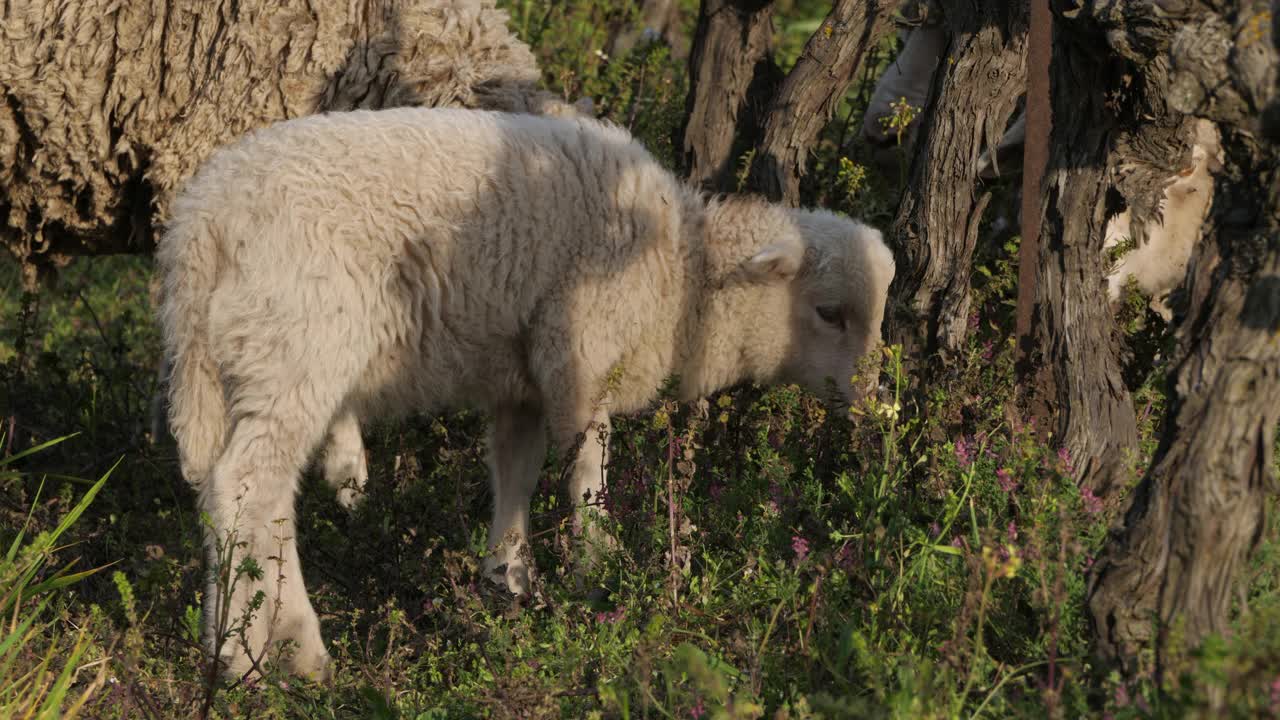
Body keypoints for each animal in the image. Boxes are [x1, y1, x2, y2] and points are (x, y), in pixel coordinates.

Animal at [154, 103, 896, 676]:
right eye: (830, 312)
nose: (871, 403)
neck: (682, 274)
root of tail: (201, 226)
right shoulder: (579, 352)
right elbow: (586, 468)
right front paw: (598, 570)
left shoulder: (523, 376)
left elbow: (517, 467)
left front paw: (507, 576)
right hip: (295, 349)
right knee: (249, 489)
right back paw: (274, 656)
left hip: (231, 366)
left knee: (234, 495)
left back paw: (231, 644)